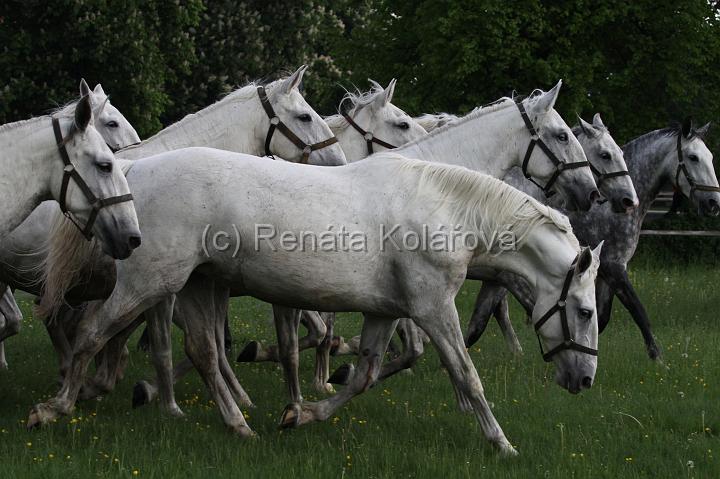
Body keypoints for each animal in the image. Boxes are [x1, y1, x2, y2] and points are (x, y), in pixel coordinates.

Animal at [28, 150, 600, 458]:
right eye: (588, 311)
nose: (585, 379)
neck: (447, 213)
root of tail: (135, 169)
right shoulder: (434, 309)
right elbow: (467, 374)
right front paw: (501, 444)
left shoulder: (384, 313)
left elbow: (364, 375)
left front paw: (300, 414)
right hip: (150, 283)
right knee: (91, 333)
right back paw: (52, 408)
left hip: (193, 285)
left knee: (204, 353)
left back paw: (238, 424)